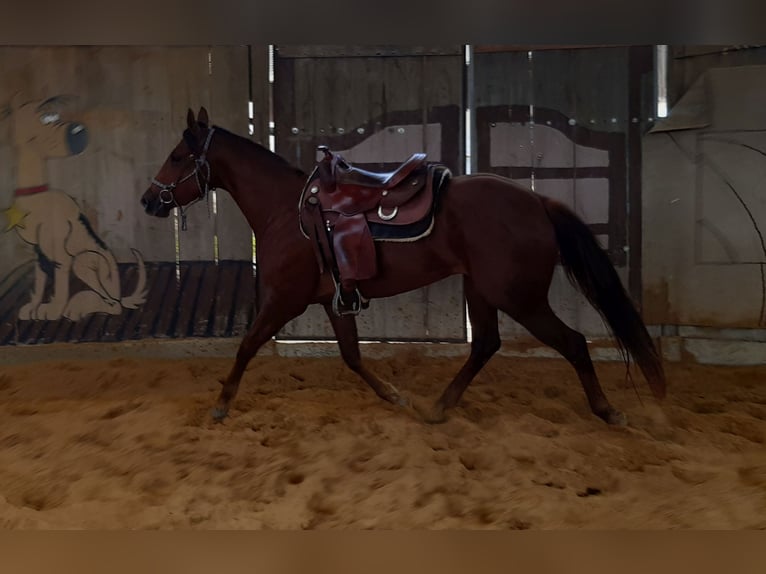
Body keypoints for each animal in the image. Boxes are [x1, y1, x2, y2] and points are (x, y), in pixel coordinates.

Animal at [140, 107, 666, 426]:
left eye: (178, 156)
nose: (148, 199)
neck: (287, 211)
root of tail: (537, 201)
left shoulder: (283, 300)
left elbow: (247, 346)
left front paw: (220, 405)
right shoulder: (333, 302)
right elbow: (352, 357)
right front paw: (394, 395)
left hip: (520, 298)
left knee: (572, 343)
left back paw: (606, 410)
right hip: (482, 290)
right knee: (486, 345)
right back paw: (438, 408)